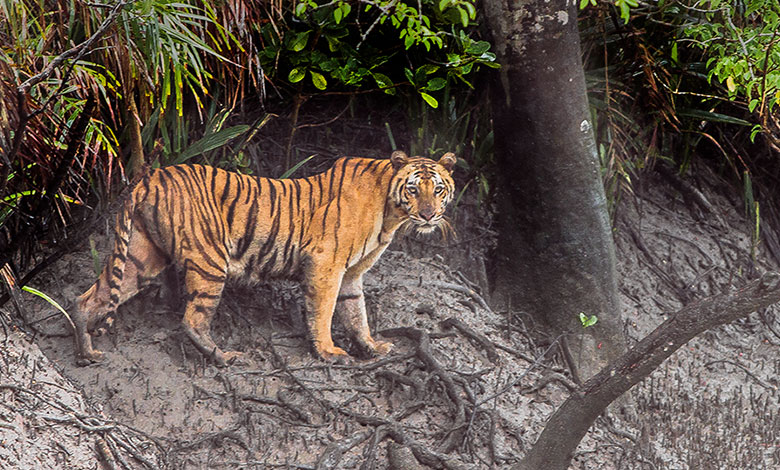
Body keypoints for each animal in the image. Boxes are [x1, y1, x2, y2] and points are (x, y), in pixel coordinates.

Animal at [73, 151, 458, 368]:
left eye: (438, 189)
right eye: (413, 189)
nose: (428, 215)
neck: (391, 213)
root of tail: (150, 176)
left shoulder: (351, 275)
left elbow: (355, 312)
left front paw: (371, 346)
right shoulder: (326, 265)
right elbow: (324, 311)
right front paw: (329, 352)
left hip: (142, 257)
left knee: (87, 298)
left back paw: (85, 353)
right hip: (210, 261)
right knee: (192, 320)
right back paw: (224, 357)